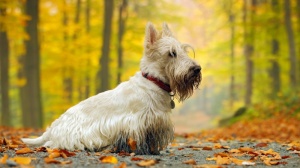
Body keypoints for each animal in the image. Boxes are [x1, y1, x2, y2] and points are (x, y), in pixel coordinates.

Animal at [22, 22, 202, 155]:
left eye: (183, 51)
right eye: (172, 53)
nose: (196, 69)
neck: (154, 82)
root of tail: (52, 128)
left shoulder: (155, 122)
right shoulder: (137, 122)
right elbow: (137, 139)